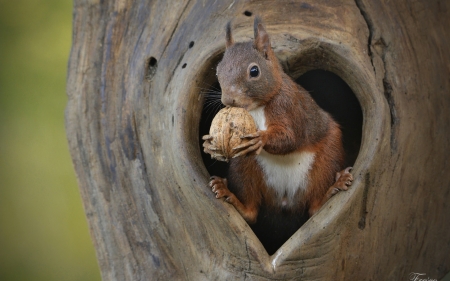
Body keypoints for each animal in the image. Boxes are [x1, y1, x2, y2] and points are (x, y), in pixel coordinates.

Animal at [202, 17, 354, 223]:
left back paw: (333, 188)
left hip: (328, 158)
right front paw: (209, 144)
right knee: (251, 212)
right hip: (244, 166)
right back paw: (229, 194)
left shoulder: (289, 107)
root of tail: (285, 199)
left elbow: (290, 138)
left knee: (315, 207)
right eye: (218, 71)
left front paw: (261, 138)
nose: (228, 100)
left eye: (254, 71)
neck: (257, 108)